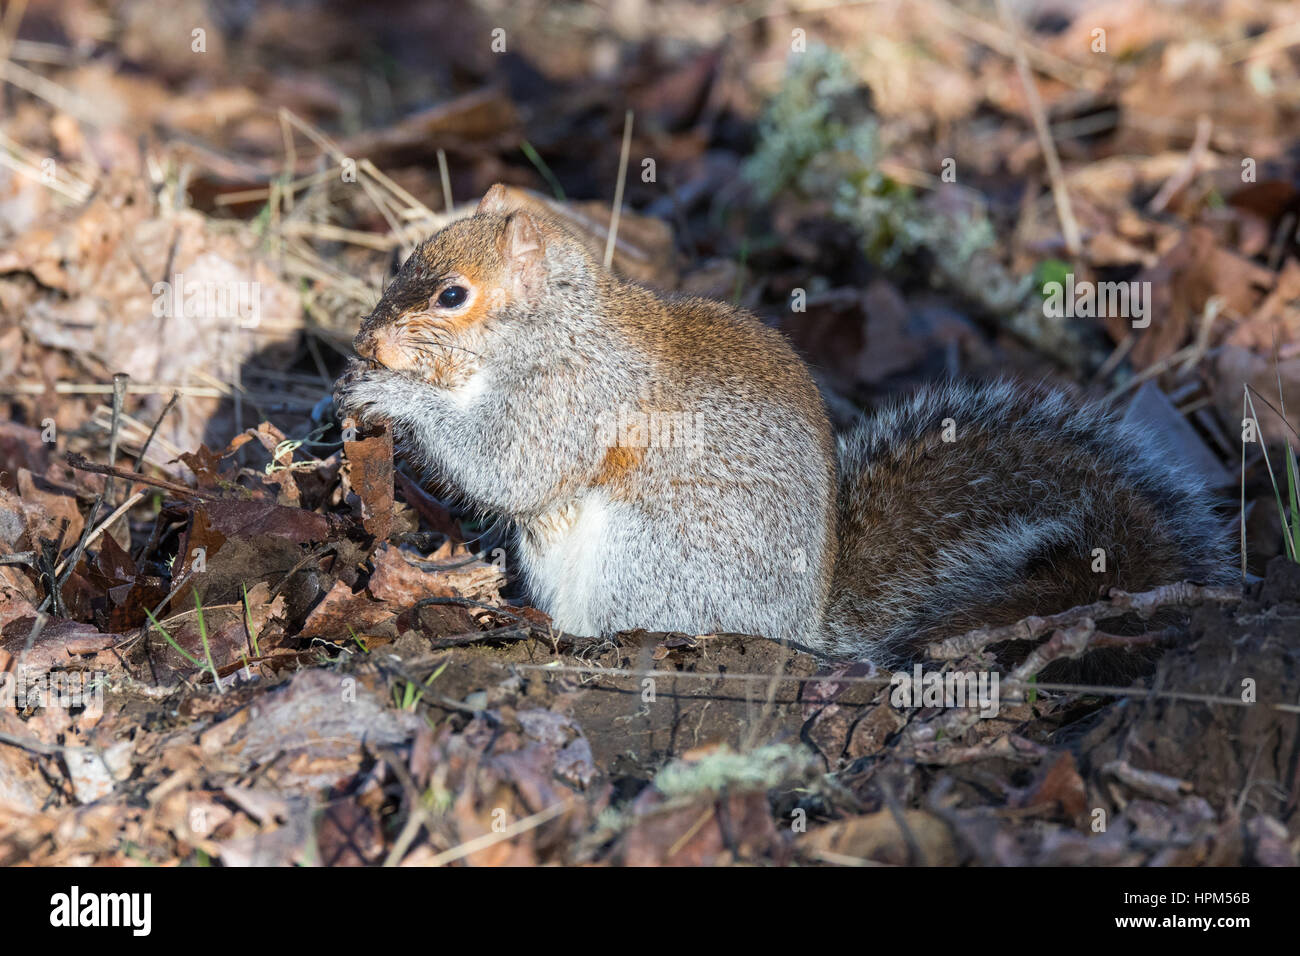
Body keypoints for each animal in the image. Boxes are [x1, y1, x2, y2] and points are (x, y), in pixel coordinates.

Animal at [336, 183, 1233, 667]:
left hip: (654, 556)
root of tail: (806, 626)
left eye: (453, 295)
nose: (367, 340)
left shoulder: (576, 396)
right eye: (408, 258)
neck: (555, 327)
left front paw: (391, 395)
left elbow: (510, 465)